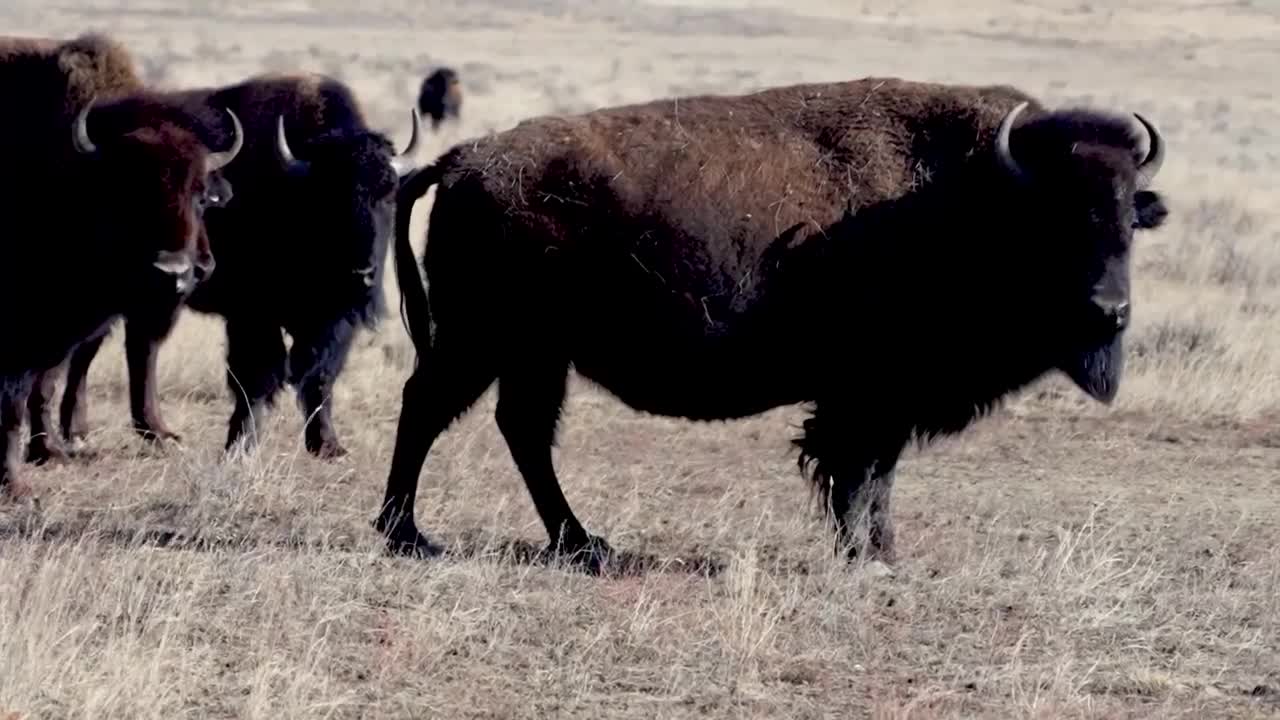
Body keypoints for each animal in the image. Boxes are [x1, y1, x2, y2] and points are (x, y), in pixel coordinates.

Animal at [0, 33, 243, 497]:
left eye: (201, 197)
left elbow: (48, 382)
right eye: (128, 193)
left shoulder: (74, 325)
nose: (174, 272)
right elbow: (21, 394)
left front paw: (48, 451)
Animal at [53, 73, 422, 459]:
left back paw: (128, 431)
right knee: (102, 347)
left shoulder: (332, 323)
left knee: (124, 346)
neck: (292, 189)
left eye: (388, 194)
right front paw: (241, 444)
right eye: (328, 196)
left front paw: (327, 445)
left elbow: (320, 375)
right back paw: (89, 431)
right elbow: (257, 375)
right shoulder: (253, 316)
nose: (361, 274)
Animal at [379, 77, 1169, 569]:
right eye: (1059, 219)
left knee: (522, 431)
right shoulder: (869, 397)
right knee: (429, 408)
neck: (979, 195)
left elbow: (875, 474)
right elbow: (858, 471)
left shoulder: (881, 401)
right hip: (484, 341)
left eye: (1130, 217)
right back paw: (407, 536)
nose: (1108, 310)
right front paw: (866, 556)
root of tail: (464, 160)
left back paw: (582, 545)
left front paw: (881, 551)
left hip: (534, 353)